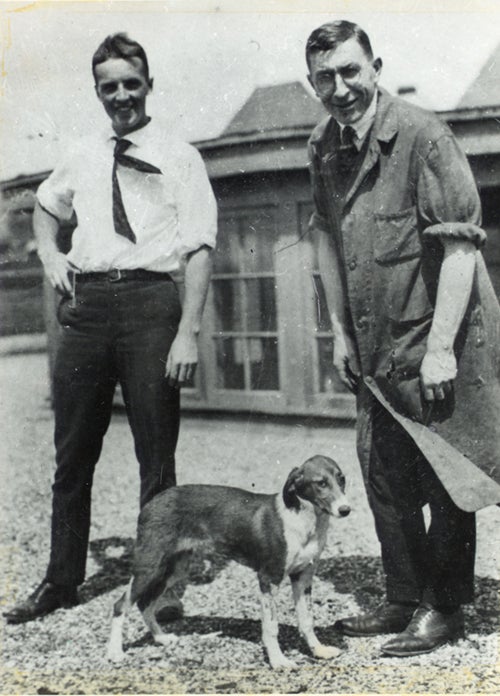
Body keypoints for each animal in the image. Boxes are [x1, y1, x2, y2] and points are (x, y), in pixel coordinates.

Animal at [108, 456, 352, 668]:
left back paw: (161, 638)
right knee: (121, 604)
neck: (304, 520)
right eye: (321, 483)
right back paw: (115, 652)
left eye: (341, 479)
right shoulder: (268, 579)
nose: (345, 509)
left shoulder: (303, 577)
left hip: (173, 569)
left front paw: (318, 650)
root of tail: (153, 502)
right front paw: (278, 661)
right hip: (150, 567)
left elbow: (307, 620)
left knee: (145, 604)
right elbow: (271, 627)